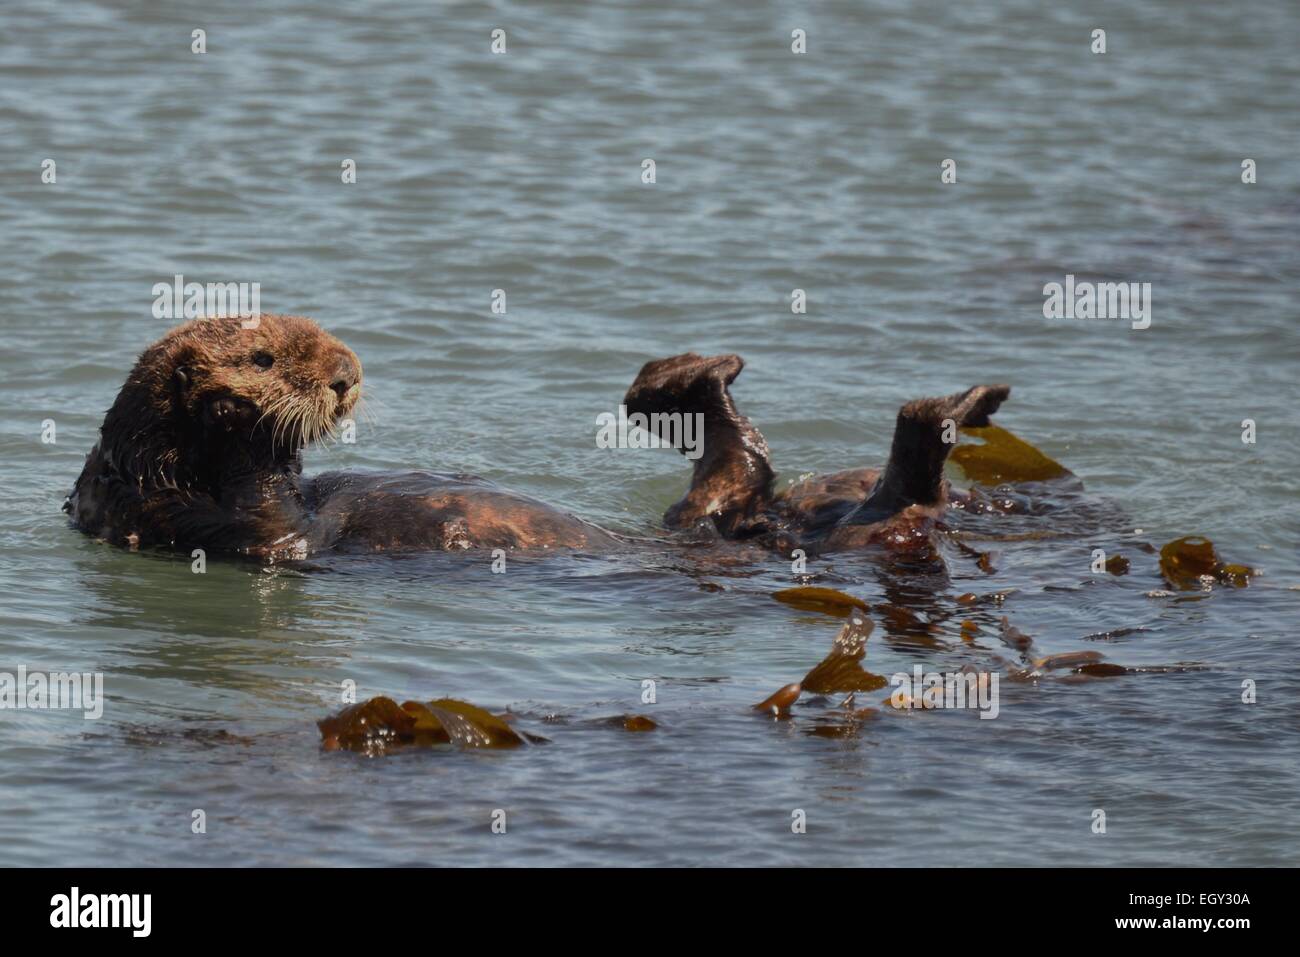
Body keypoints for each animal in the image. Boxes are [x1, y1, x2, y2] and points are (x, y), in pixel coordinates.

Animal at [63, 314, 1013, 561]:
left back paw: (683, 374)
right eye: (263, 355)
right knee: (888, 490)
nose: (346, 370)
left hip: (721, 518)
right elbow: (279, 524)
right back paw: (952, 407)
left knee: (739, 463)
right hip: (857, 528)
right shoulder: (210, 523)